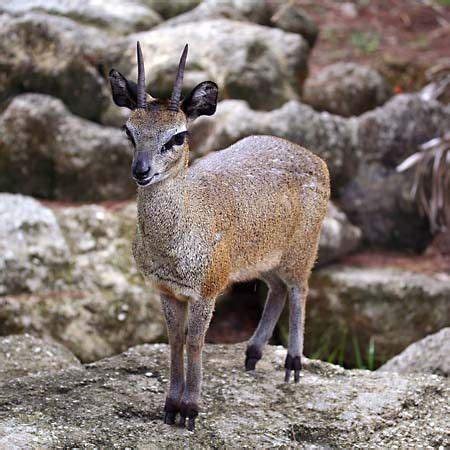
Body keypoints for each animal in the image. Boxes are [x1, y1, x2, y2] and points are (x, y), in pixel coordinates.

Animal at [109, 43, 330, 432]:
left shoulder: (208, 290)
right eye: (128, 129)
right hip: (261, 259)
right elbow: (175, 340)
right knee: (275, 289)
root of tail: (318, 160)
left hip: (302, 249)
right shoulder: (167, 290)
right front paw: (169, 407)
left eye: (177, 136)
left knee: (299, 289)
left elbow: (196, 342)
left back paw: (292, 364)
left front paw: (190, 409)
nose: (141, 171)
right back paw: (252, 354)